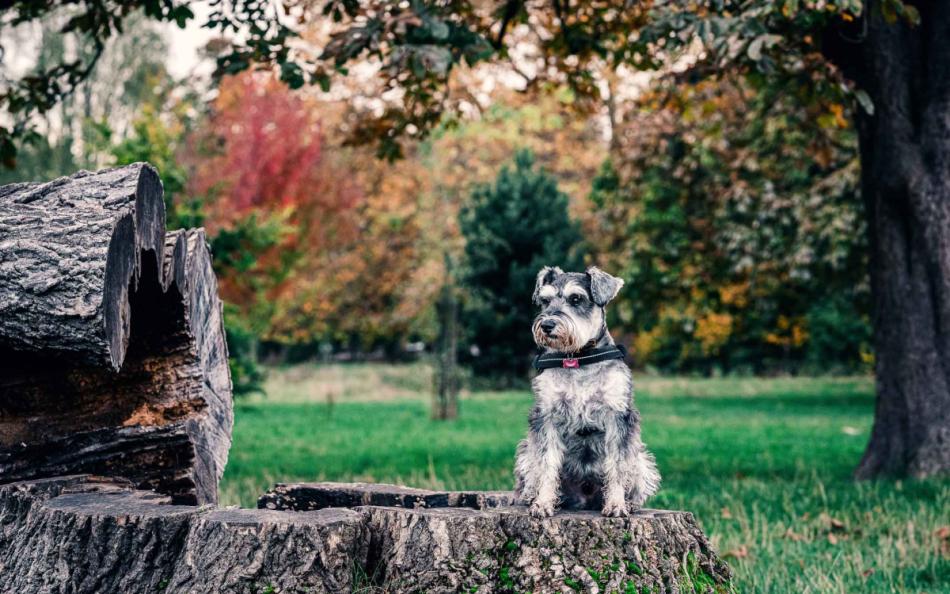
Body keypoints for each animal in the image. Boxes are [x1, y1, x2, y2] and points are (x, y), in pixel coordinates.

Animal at [512, 266, 660, 516]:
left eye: (576, 298)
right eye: (545, 300)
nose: (547, 325)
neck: (578, 359)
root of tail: (584, 498)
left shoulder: (617, 414)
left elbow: (617, 465)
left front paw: (617, 504)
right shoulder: (547, 415)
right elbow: (546, 463)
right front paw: (543, 503)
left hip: (641, 458)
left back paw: (629, 502)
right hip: (525, 451)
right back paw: (533, 497)